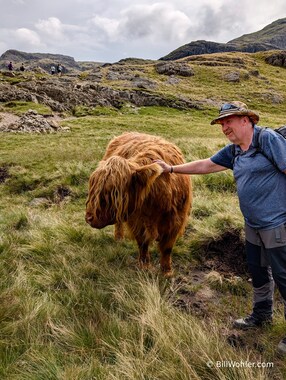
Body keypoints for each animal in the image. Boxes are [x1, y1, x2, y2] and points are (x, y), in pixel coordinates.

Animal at [85, 132, 192, 274]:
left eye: (112, 194)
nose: (88, 218)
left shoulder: (175, 220)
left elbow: (167, 248)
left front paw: (166, 271)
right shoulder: (137, 219)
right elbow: (142, 243)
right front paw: (145, 266)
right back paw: (119, 238)